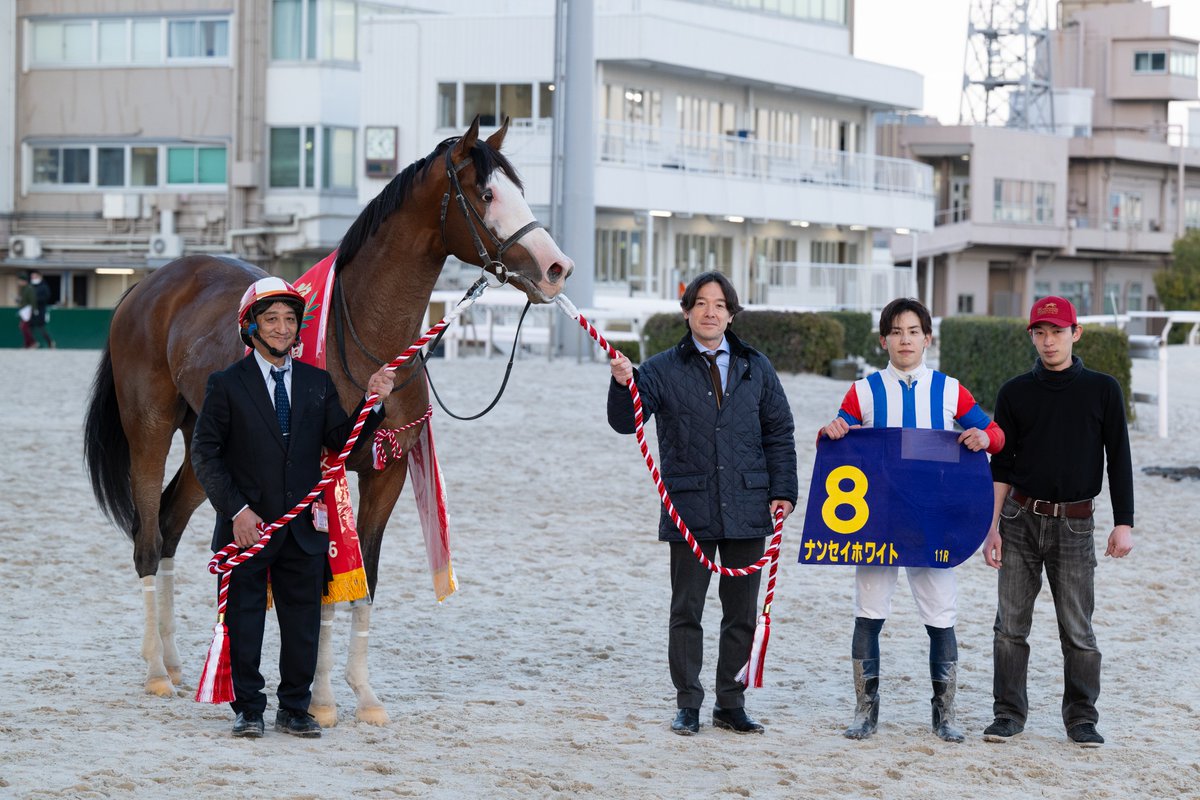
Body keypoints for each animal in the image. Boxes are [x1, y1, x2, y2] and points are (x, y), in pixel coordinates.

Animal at [83, 118, 573, 725]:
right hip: (148, 431)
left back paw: (175, 665)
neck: (368, 339)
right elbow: (324, 581)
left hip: (209, 451)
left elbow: (364, 582)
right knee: (147, 538)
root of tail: (149, 285)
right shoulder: (325, 476)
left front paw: (363, 696)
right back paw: (155, 671)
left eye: (519, 190)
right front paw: (319, 701)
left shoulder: (385, 474)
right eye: (485, 194)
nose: (556, 269)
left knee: (171, 525)